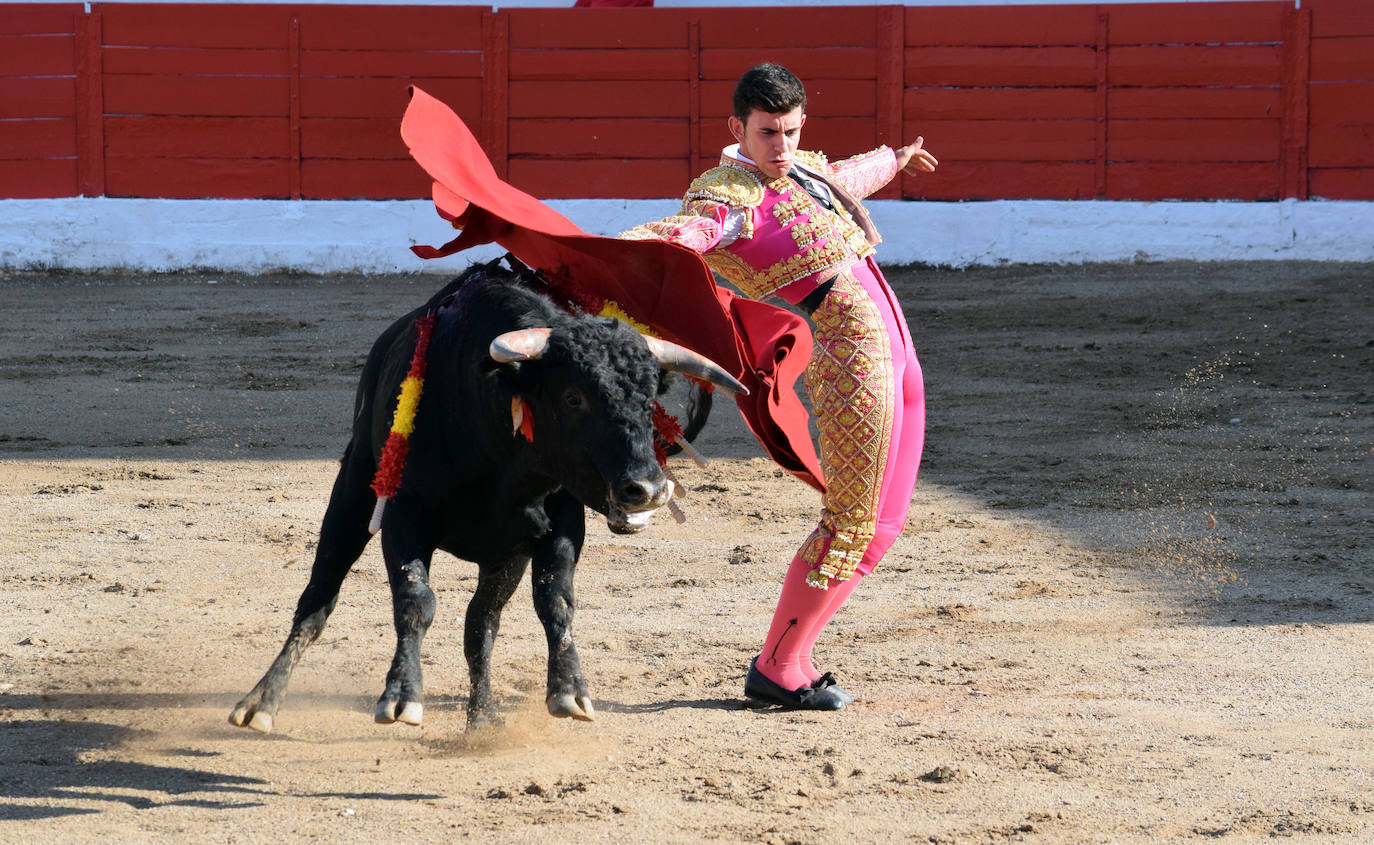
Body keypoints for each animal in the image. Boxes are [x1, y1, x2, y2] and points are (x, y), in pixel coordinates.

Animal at [228, 258, 741, 736]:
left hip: (502, 558)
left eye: (649, 397)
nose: (647, 488)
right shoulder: (404, 516)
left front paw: (568, 690)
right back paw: (260, 704)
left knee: (481, 625)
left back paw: (483, 720)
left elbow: (553, 601)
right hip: (353, 492)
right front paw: (401, 696)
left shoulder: (555, 525)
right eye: (573, 398)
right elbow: (416, 600)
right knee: (318, 598)